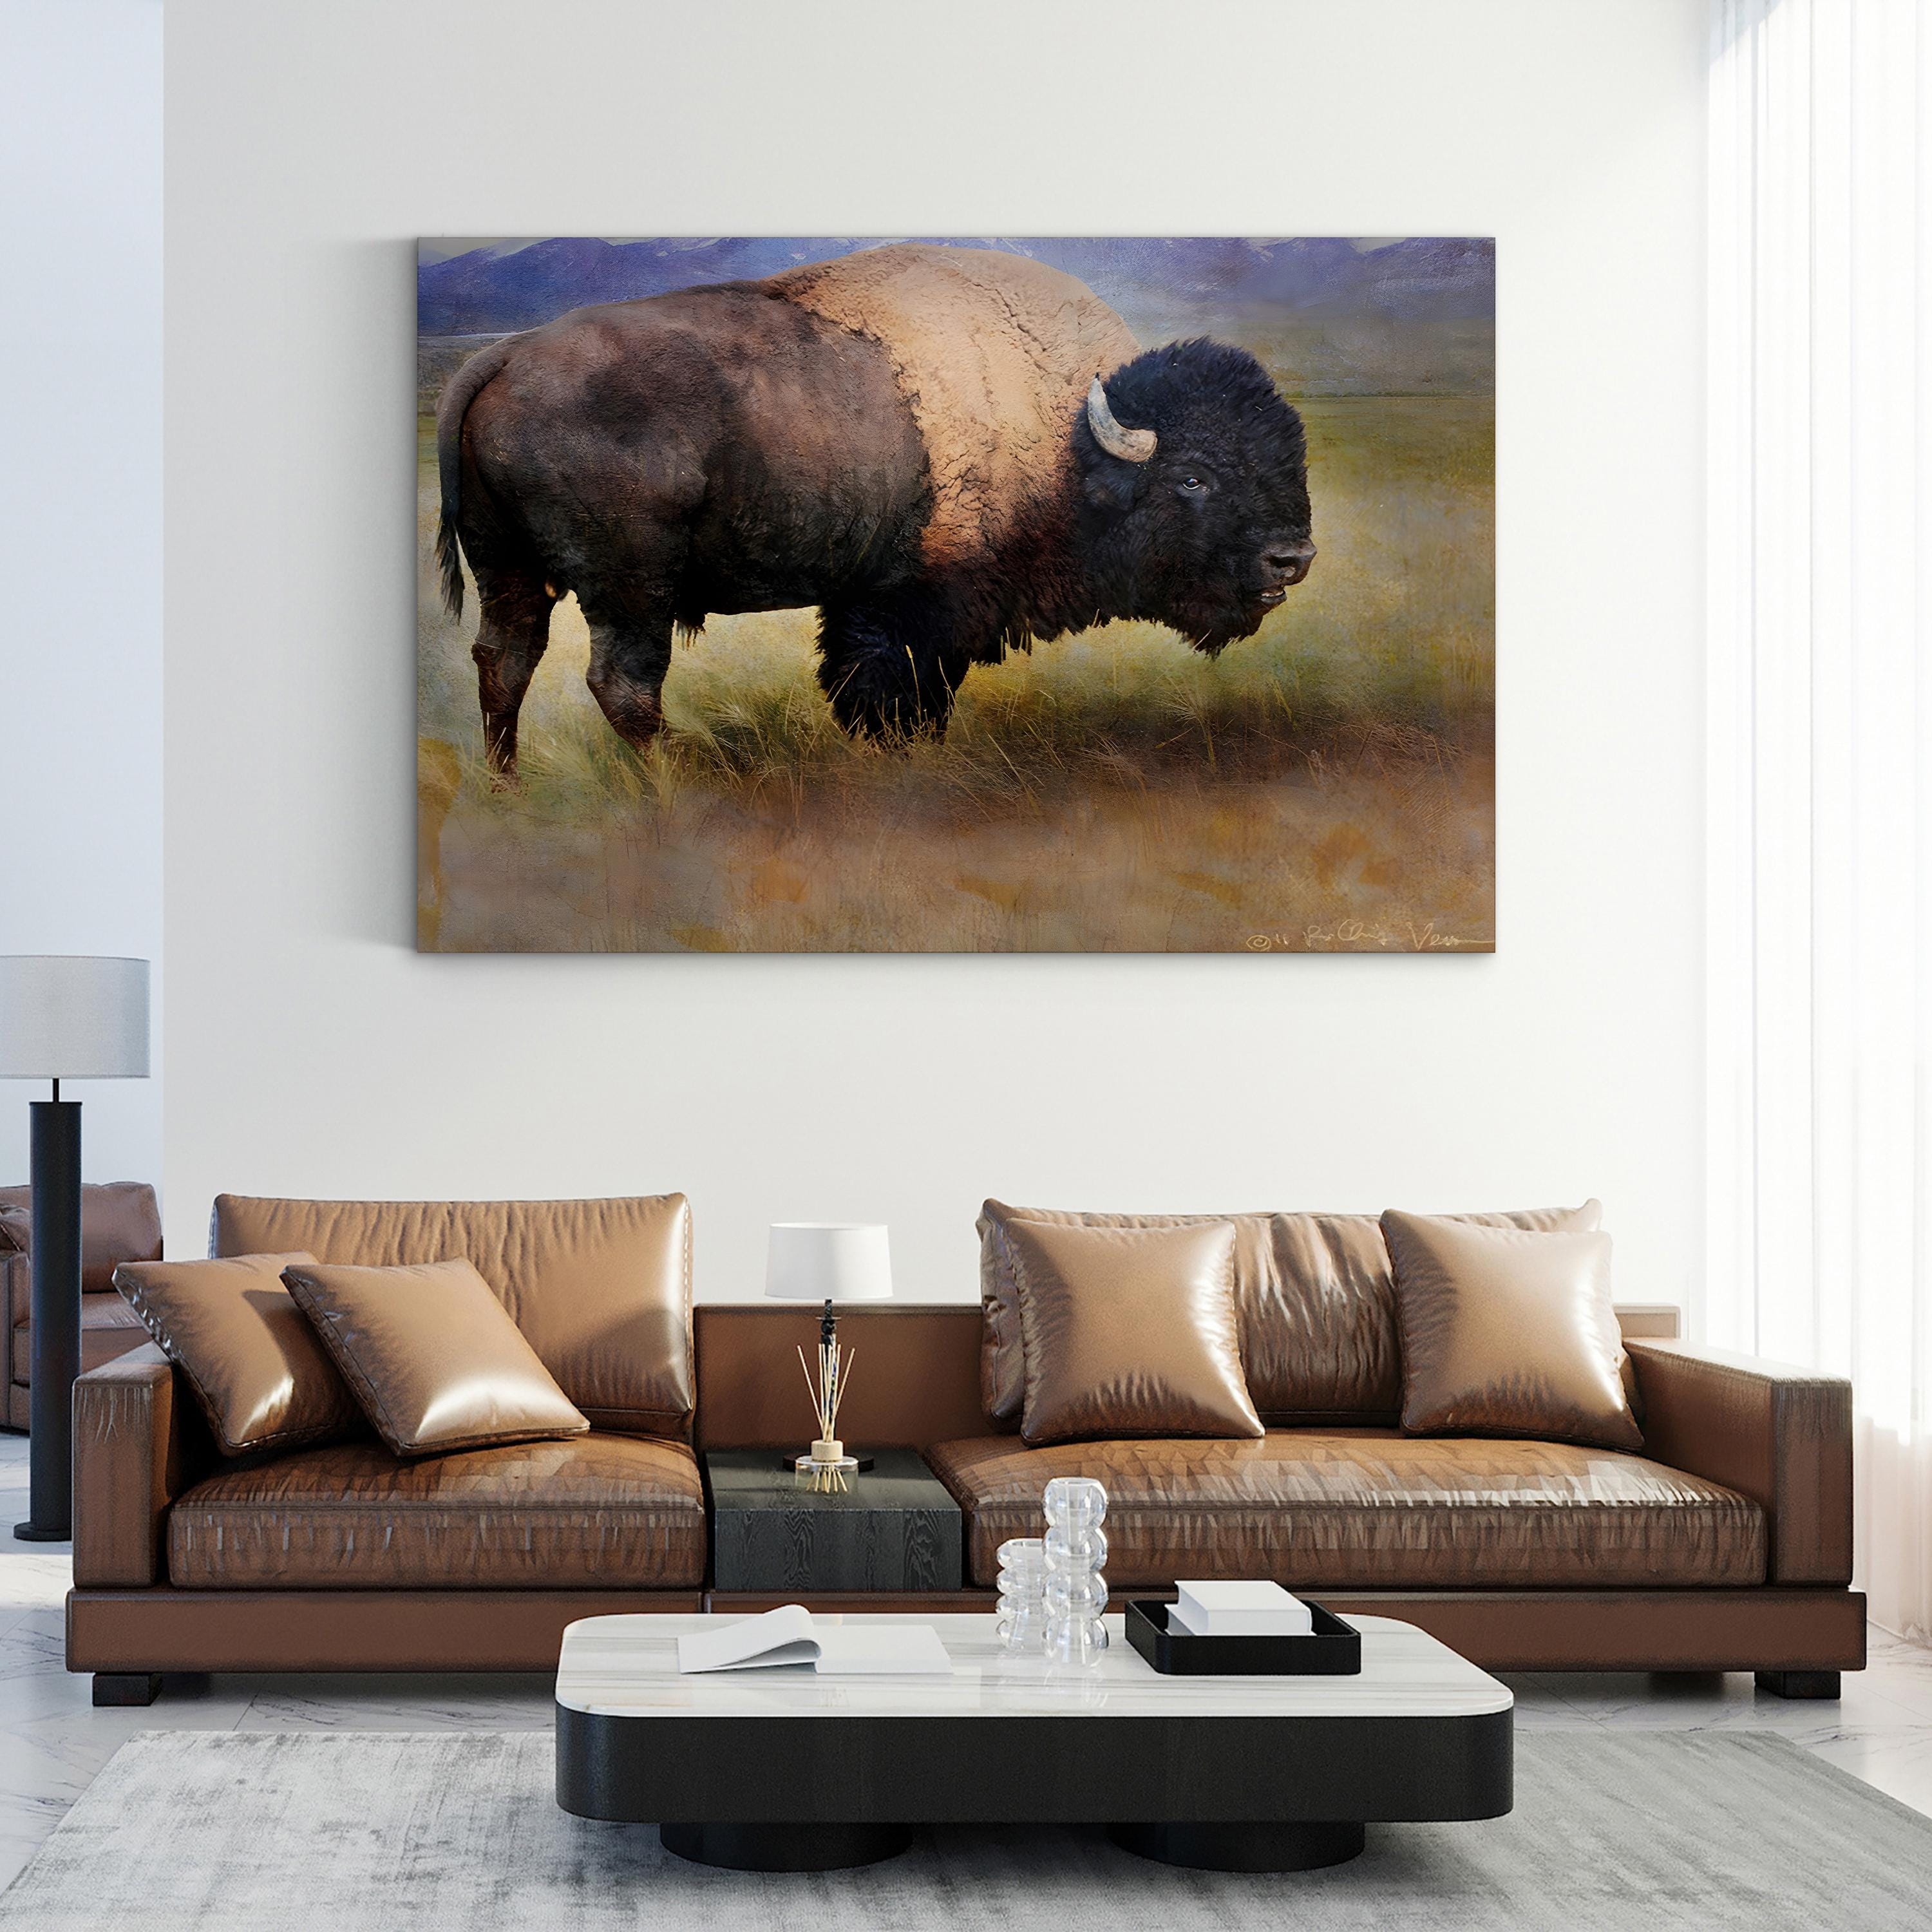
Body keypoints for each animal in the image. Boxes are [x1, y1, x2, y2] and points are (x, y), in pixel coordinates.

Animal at [435, 244, 1314, 776]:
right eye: (1193, 477)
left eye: (1289, 456)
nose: (1292, 558)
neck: (1069, 438)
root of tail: (503, 356)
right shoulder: (917, 608)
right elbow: (897, 692)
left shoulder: (872, 601)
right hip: (629, 589)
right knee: (621, 684)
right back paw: (686, 782)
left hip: (511, 571)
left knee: (505, 663)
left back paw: (508, 788)